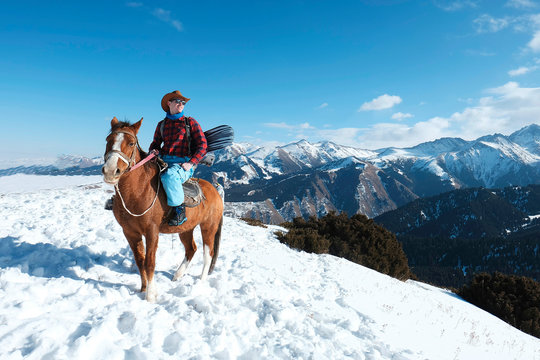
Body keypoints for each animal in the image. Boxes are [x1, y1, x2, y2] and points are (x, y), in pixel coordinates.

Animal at [101, 117, 224, 300]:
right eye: (108, 140)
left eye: (131, 143)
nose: (110, 171)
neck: (138, 191)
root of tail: (215, 191)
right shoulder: (130, 232)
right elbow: (140, 260)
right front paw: (143, 289)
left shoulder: (152, 231)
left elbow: (150, 262)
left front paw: (150, 295)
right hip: (185, 229)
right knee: (191, 249)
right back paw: (178, 275)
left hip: (208, 227)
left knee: (207, 254)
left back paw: (200, 282)